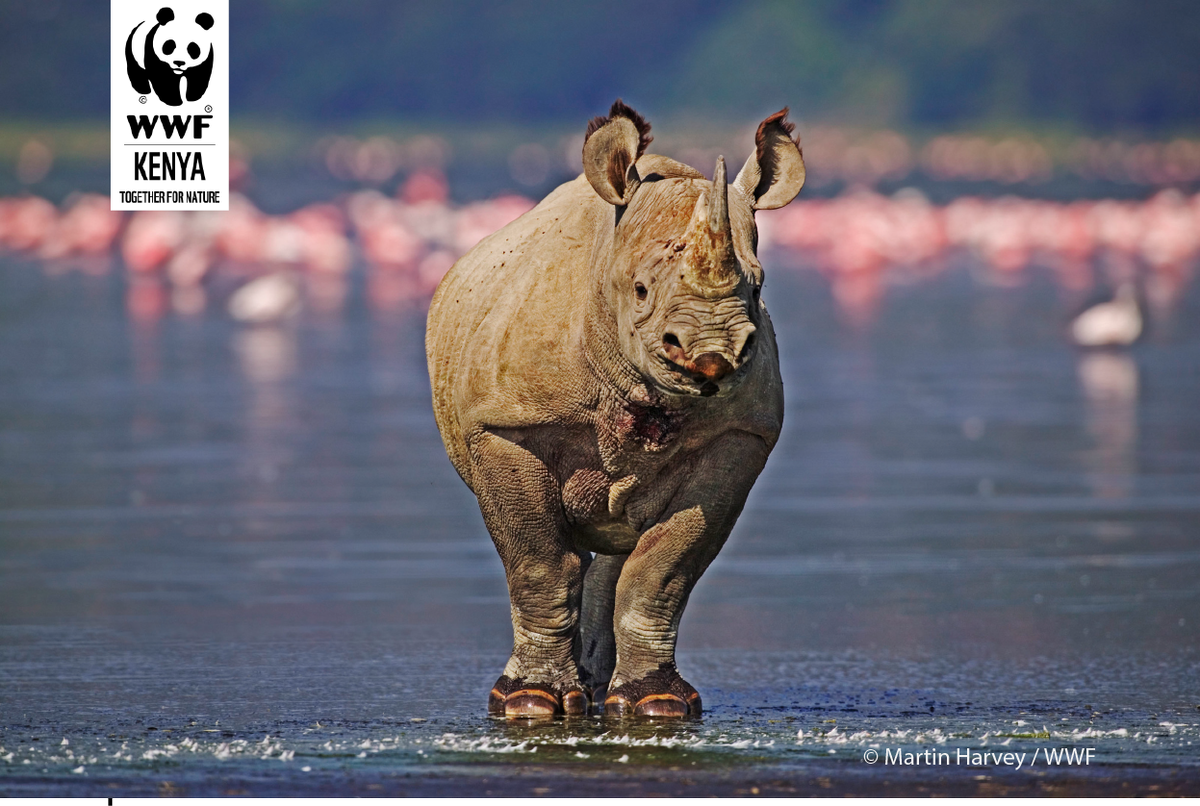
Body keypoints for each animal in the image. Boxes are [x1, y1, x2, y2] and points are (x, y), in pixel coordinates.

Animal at [426, 100, 805, 718]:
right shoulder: (506, 426)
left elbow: (662, 571)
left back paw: (602, 690)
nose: (712, 354)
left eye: (757, 289)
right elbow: (539, 563)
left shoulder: (738, 436)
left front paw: (659, 704)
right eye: (642, 290)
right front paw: (530, 703)